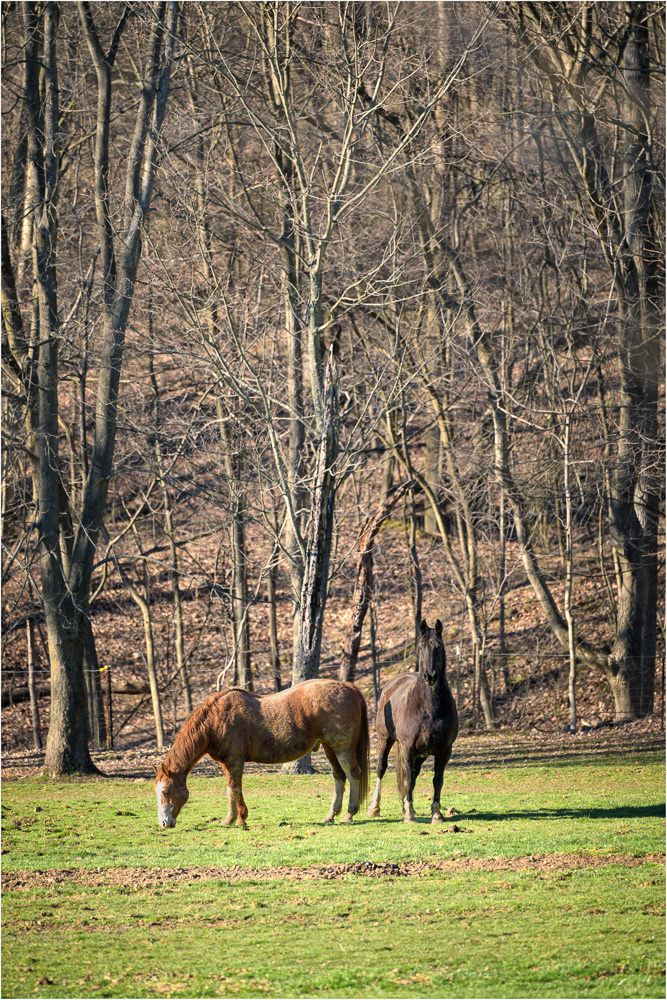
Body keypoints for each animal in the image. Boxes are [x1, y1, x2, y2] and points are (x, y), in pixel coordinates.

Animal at [153, 680, 370, 828]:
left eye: (165, 792)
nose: (164, 823)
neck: (216, 720)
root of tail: (349, 687)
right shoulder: (227, 763)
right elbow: (236, 789)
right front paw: (241, 818)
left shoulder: (234, 760)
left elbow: (232, 790)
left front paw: (229, 820)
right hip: (329, 748)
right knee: (339, 777)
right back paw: (331, 815)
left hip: (342, 748)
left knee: (353, 774)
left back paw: (349, 814)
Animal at [366, 620, 460, 824]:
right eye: (421, 646)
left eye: (440, 647)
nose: (430, 676)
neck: (429, 708)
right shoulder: (408, 748)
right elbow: (407, 780)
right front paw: (409, 815)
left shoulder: (444, 751)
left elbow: (437, 781)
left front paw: (436, 814)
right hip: (385, 740)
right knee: (381, 769)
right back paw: (374, 808)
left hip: (420, 754)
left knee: (413, 775)